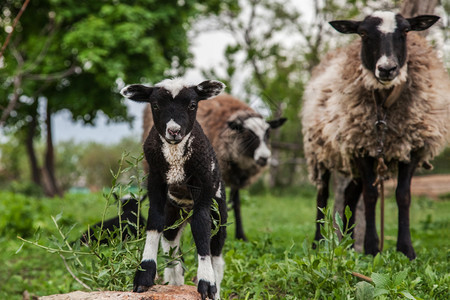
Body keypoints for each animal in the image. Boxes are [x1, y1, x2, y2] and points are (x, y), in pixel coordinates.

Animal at [119, 78, 227, 300]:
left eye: (193, 105)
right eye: (155, 105)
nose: (174, 131)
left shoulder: (202, 185)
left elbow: (201, 228)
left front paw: (206, 283)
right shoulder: (155, 180)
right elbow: (154, 222)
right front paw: (144, 275)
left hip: (219, 209)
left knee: (216, 254)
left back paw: (216, 288)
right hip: (173, 213)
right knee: (171, 251)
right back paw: (175, 283)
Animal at [142, 95, 286, 240]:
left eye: (268, 134)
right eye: (247, 134)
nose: (264, 158)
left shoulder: (236, 176)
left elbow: (237, 204)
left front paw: (240, 235)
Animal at [302, 11, 450, 260]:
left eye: (406, 31)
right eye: (363, 33)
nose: (387, 69)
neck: (384, 109)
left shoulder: (411, 147)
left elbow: (403, 195)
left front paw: (406, 249)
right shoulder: (361, 147)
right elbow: (371, 195)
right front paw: (372, 248)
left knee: (350, 196)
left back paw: (348, 245)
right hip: (319, 152)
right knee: (322, 196)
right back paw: (318, 243)